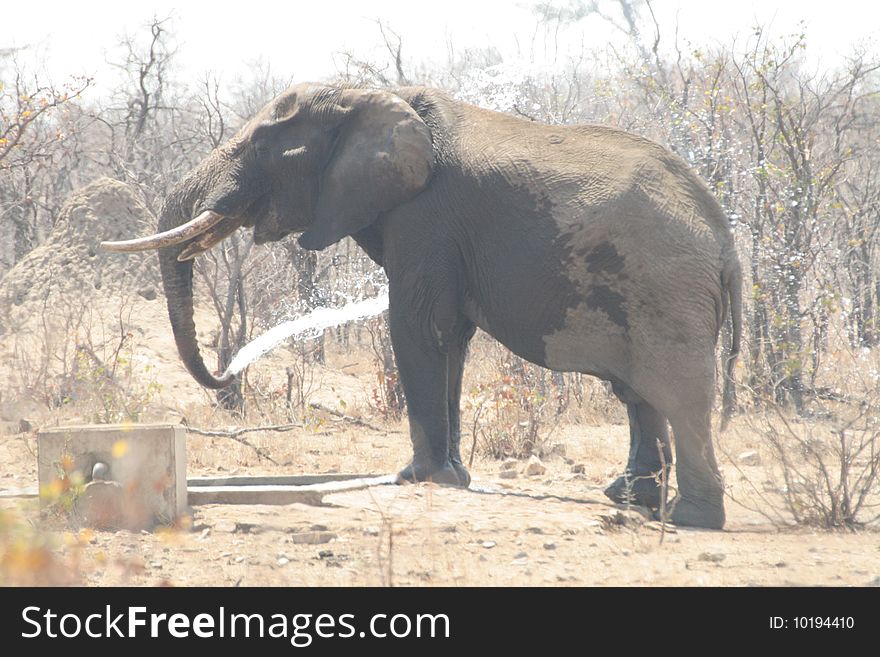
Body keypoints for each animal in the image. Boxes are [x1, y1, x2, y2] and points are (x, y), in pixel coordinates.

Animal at [99, 82, 740, 528]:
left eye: (260, 145)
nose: (228, 374)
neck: (368, 94)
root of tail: (726, 242)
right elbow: (450, 337)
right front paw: (451, 476)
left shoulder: (426, 216)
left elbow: (418, 327)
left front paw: (418, 479)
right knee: (639, 395)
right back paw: (630, 499)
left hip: (667, 289)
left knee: (679, 396)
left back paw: (691, 519)